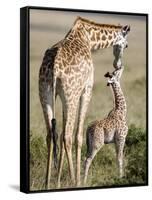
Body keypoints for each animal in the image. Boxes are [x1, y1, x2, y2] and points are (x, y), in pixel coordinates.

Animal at [38, 16, 130, 189]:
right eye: (126, 45)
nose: (118, 65)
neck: (89, 38)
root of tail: (54, 67)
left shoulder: (63, 97)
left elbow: (60, 132)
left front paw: (58, 181)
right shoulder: (87, 89)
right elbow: (78, 135)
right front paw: (77, 179)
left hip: (45, 94)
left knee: (51, 135)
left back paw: (47, 183)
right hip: (72, 95)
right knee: (67, 136)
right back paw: (74, 180)